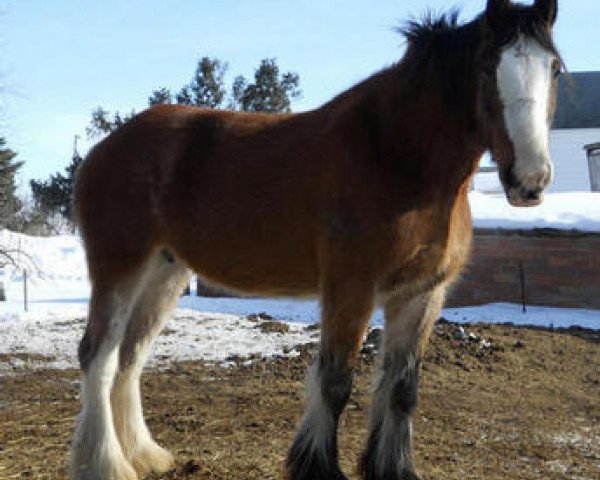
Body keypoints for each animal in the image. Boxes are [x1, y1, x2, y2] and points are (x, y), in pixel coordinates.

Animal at [70, 0, 564, 480]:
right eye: (487, 66)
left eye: (555, 68)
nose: (530, 180)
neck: (395, 157)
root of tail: (104, 149)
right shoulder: (351, 287)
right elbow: (335, 380)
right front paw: (318, 466)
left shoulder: (422, 294)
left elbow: (402, 388)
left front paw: (392, 467)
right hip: (120, 267)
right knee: (99, 355)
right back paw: (105, 464)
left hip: (164, 272)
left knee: (130, 357)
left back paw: (143, 455)